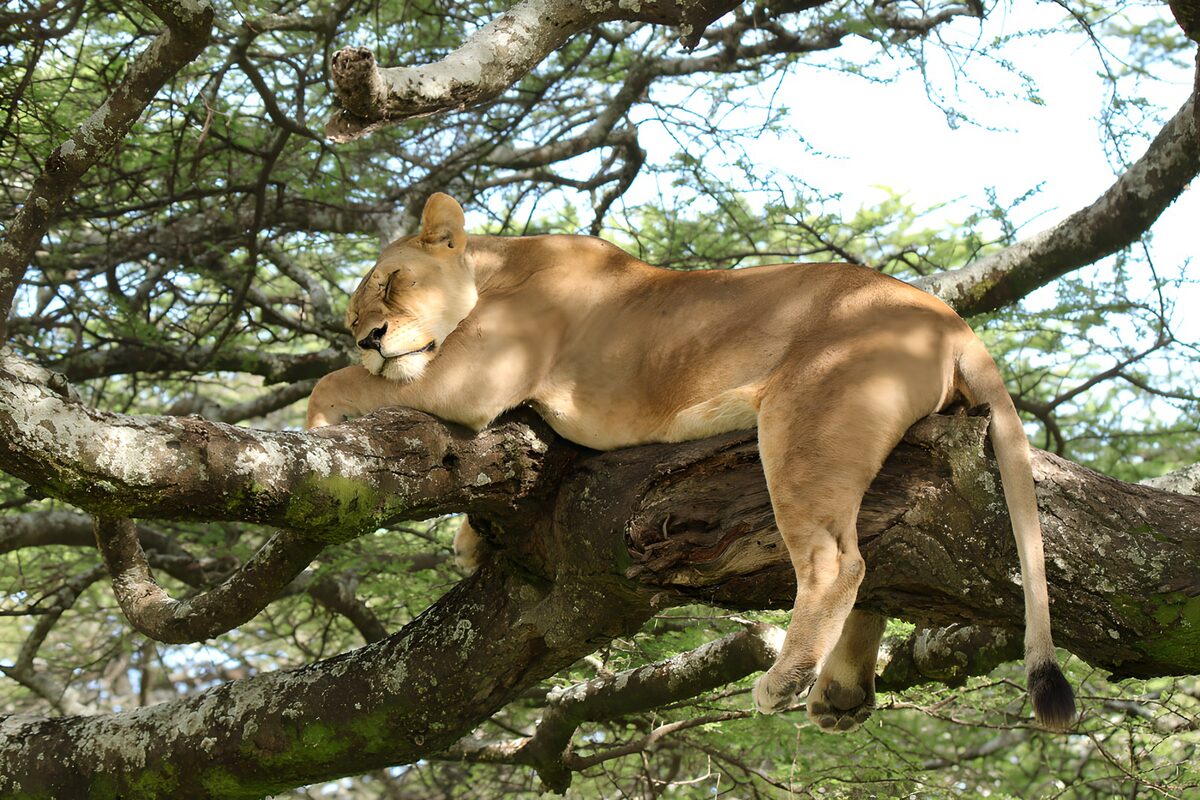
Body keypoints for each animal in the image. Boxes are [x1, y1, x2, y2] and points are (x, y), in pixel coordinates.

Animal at [306, 193, 1077, 732]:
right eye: (349, 318)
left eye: (393, 284)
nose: (369, 337)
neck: (497, 267)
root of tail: (953, 321)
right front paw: (470, 542)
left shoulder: (476, 378)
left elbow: (337, 383)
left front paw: (314, 427)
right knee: (879, 558)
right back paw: (840, 692)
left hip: (805, 424)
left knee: (838, 562)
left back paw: (787, 680)